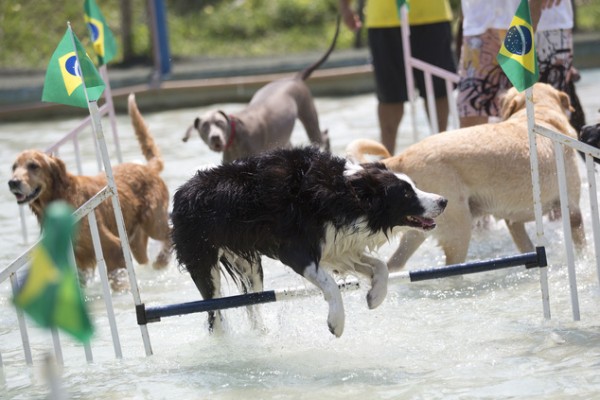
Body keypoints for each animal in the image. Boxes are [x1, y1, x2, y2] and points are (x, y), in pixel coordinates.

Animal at [8, 94, 172, 290]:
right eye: (14, 167)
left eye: (33, 166)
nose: (12, 182)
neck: (61, 197)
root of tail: (148, 167)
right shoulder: (77, 261)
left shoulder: (112, 247)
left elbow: (117, 280)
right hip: (136, 240)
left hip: (153, 222)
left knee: (170, 234)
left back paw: (161, 261)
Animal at [171, 145, 448, 336]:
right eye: (406, 193)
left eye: (413, 185)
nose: (443, 201)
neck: (345, 193)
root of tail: (182, 191)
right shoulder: (295, 251)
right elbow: (330, 284)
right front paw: (336, 322)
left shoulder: (337, 246)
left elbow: (380, 266)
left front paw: (375, 296)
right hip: (204, 261)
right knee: (214, 310)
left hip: (250, 267)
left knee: (252, 303)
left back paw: (260, 334)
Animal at [180, 17, 340, 161]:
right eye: (204, 126)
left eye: (220, 123)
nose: (215, 137)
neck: (235, 138)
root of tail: (295, 78)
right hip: (284, 139)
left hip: (309, 116)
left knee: (322, 136)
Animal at [346, 81, 584, 270]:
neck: (541, 115)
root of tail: (402, 156)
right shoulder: (573, 211)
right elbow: (581, 247)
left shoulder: (513, 221)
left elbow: (528, 247)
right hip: (459, 230)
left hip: (419, 228)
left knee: (393, 265)